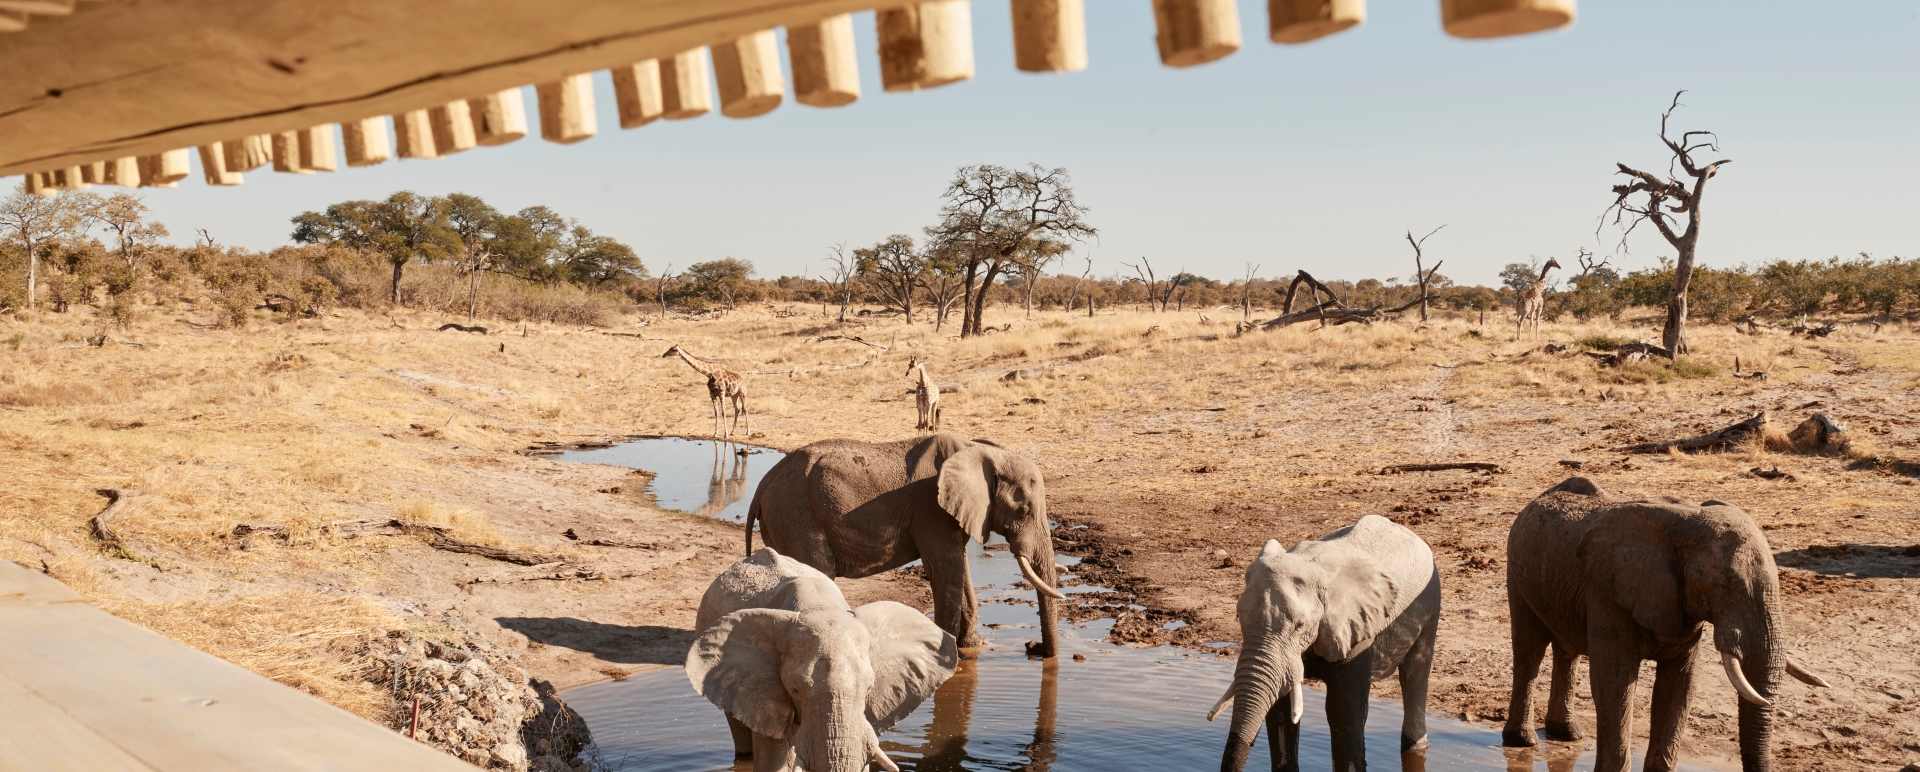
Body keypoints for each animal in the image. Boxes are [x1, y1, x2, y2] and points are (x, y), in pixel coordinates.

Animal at [743, 433, 1066, 657]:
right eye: (1024, 511)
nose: (1033, 648)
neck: (979, 450)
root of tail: (762, 485)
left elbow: (959, 570)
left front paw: (971, 647)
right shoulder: (931, 509)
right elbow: (946, 570)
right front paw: (948, 654)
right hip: (795, 515)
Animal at [1212, 514, 1442, 772]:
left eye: (1300, 625)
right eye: (1238, 617)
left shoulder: (1357, 633)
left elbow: (1344, 712)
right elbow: (1280, 711)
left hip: (1431, 599)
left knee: (1415, 671)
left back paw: (1416, 745)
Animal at [1502, 477, 1830, 772]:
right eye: (1726, 585)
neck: (1687, 523)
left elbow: (1679, 685)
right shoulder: (1608, 592)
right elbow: (1615, 682)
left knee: (1566, 651)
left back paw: (1567, 734)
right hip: (1518, 575)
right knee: (1530, 651)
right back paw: (1522, 741)